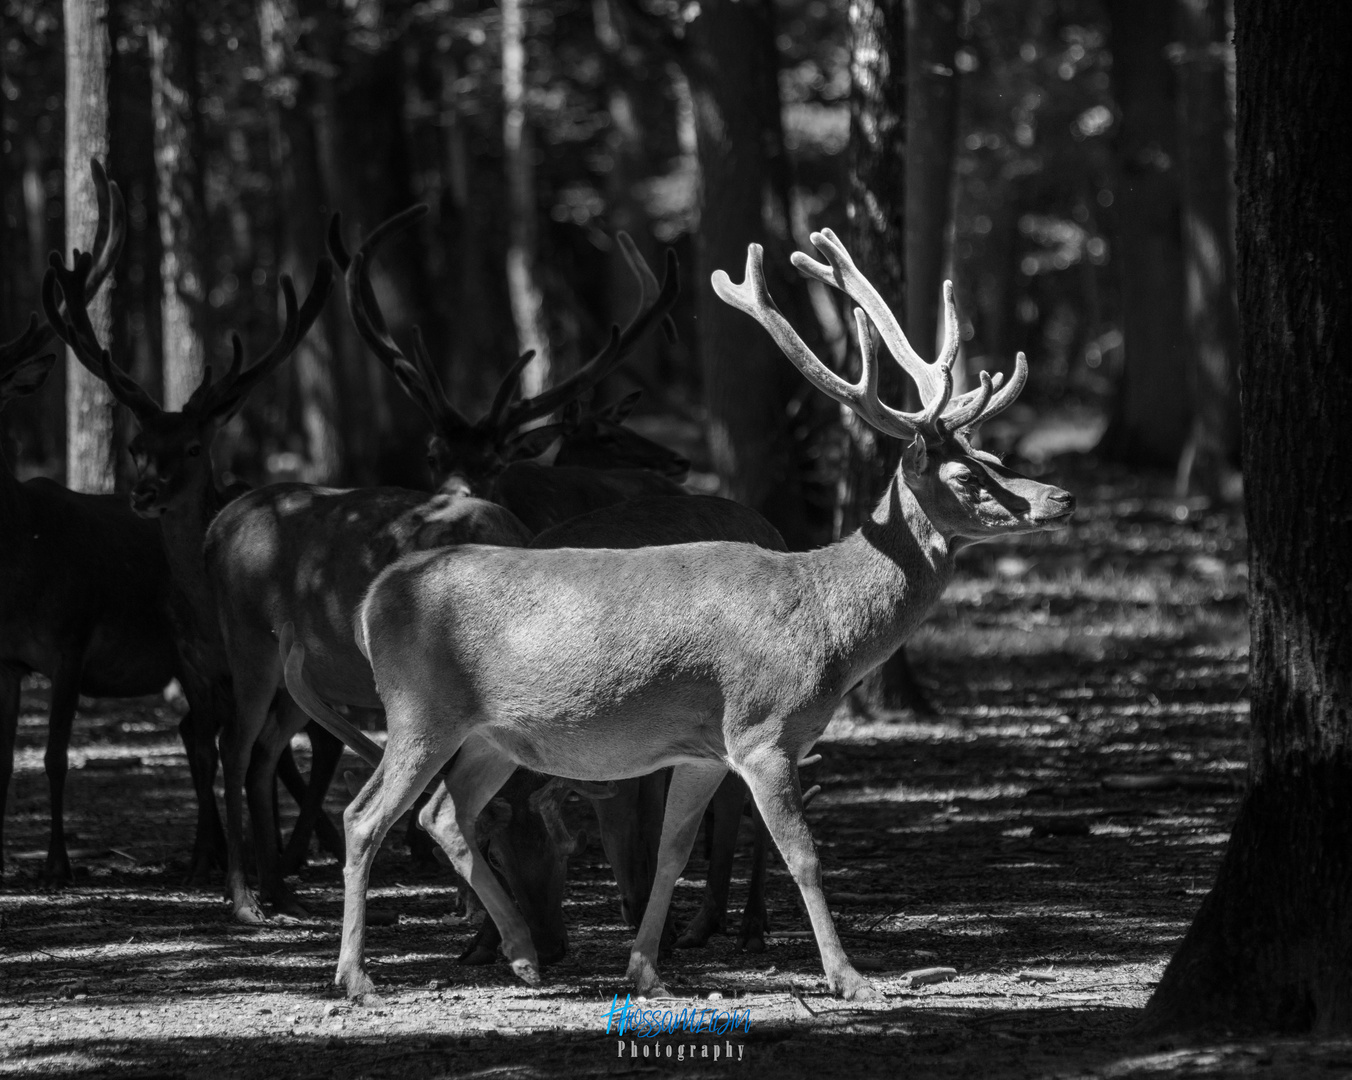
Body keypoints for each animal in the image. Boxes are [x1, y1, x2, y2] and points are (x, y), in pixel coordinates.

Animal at [43, 195, 338, 919]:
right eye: (137, 446)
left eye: (195, 448)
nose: (144, 494)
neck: (205, 606)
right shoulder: (193, 663)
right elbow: (211, 752)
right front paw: (218, 865)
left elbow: (247, 754)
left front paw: (257, 876)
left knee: (317, 743)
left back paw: (305, 852)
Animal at [287, 229, 1076, 1005]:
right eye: (967, 475)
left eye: (991, 451)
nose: (1061, 498)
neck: (820, 625)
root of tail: (370, 601)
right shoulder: (760, 733)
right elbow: (805, 857)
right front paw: (850, 978)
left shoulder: (702, 750)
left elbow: (671, 854)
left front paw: (645, 969)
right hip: (420, 709)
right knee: (365, 816)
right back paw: (357, 978)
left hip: (493, 735)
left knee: (445, 815)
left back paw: (523, 957)